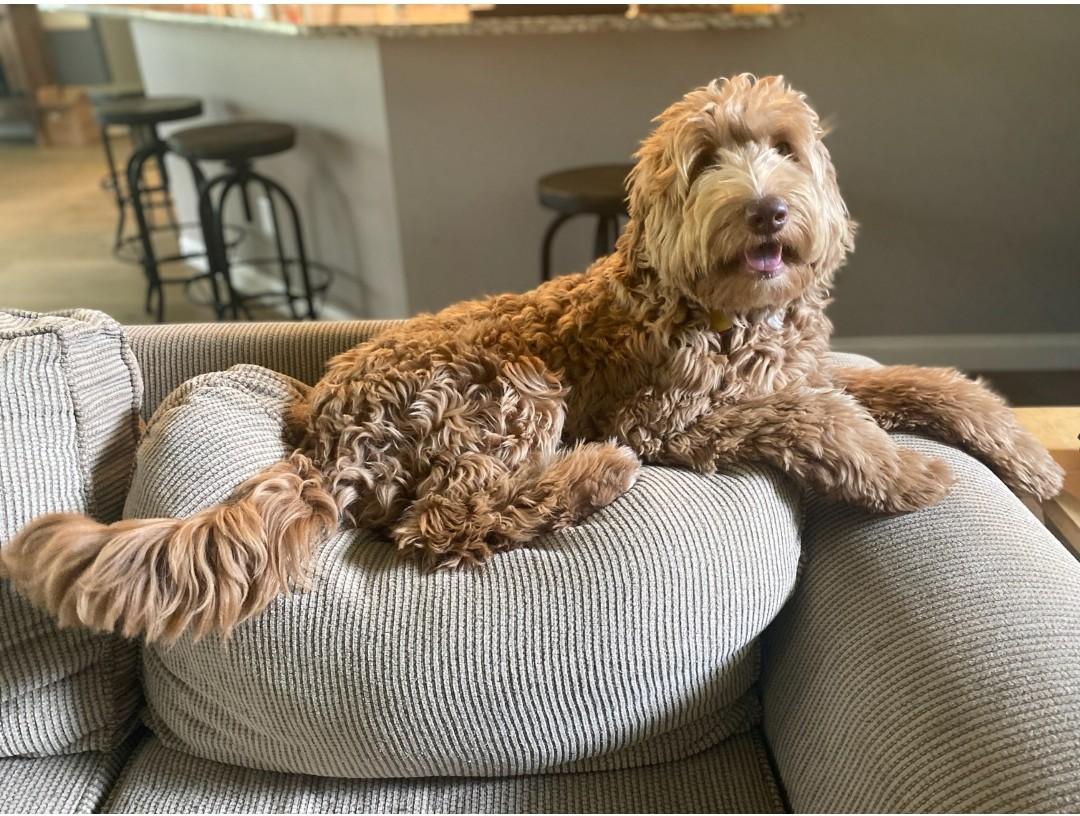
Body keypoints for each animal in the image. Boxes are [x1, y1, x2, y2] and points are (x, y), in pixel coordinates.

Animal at [1, 75, 1063, 644]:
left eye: (784, 148)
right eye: (705, 163)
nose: (767, 210)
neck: (723, 311)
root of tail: (324, 431)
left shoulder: (798, 368)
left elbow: (914, 381)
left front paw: (1018, 451)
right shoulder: (673, 418)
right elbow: (821, 417)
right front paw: (903, 472)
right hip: (510, 387)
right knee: (445, 520)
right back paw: (590, 476)